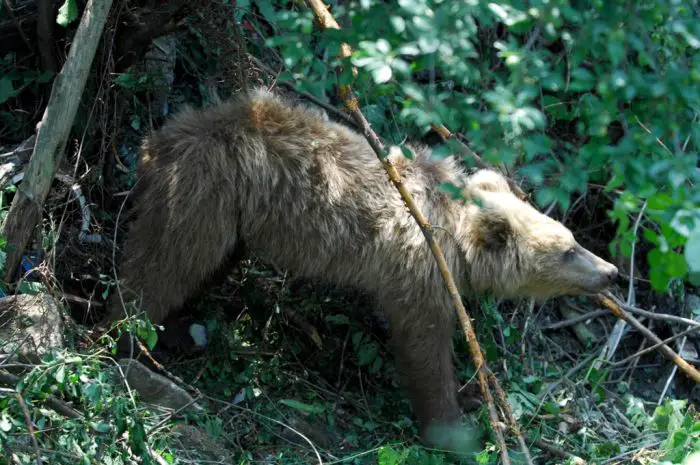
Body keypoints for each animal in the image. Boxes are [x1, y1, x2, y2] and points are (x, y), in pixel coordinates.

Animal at [100, 87, 616, 450]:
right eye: (568, 249)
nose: (610, 270)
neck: (451, 234)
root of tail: (158, 141)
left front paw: (469, 396)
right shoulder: (417, 270)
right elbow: (423, 345)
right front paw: (453, 429)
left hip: (234, 221)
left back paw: (178, 331)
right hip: (207, 193)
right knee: (164, 265)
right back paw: (126, 339)